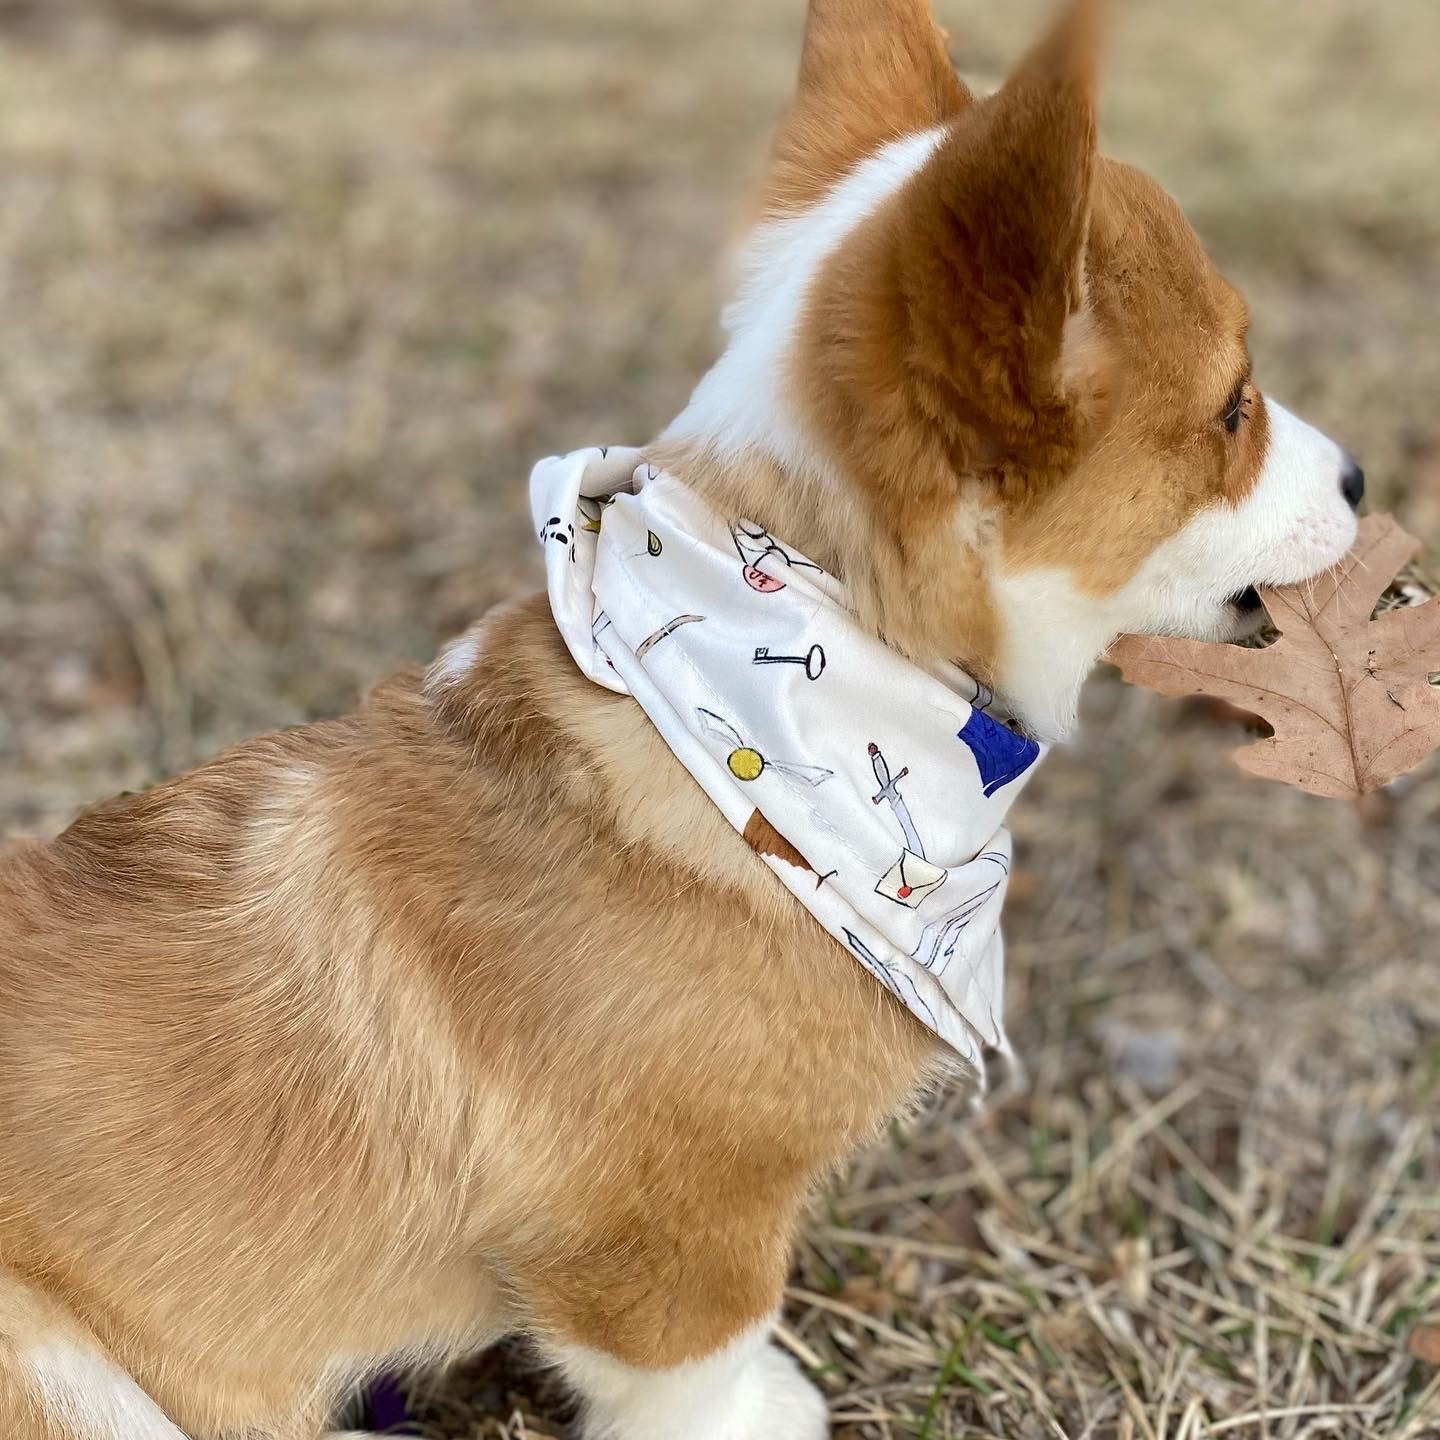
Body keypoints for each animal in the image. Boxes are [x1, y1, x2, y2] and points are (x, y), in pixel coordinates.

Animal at [0, 2, 1359, 1440]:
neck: (760, 742)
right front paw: (765, 1407)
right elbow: (702, 1361)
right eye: (1232, 406)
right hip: (63, 1368)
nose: (1363, 479)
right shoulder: (657, 1244)